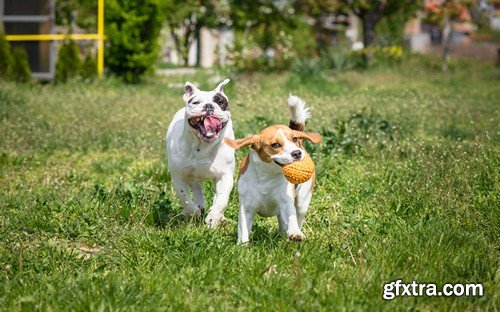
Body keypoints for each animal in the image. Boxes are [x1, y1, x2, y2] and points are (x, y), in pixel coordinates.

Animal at [165, 79, 233, 228]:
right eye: (195, 102)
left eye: (220, 102)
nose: (208, 106)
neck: (201, 145)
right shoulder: (178, 177)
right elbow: (184, 198)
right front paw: (193, 213)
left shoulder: (225, 176)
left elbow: (222, 200)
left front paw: (213, 219)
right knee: (197, 190)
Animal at [226, 95, 322, 244]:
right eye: (275, 145)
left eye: (294, 138)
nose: (297, 153)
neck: (267, 176)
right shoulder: (246, 207)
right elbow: (243, 229)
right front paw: (243, 245)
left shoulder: (286, 202)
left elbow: (291, 217)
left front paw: (295, 233)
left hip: (302, 201)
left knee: (297, 217)